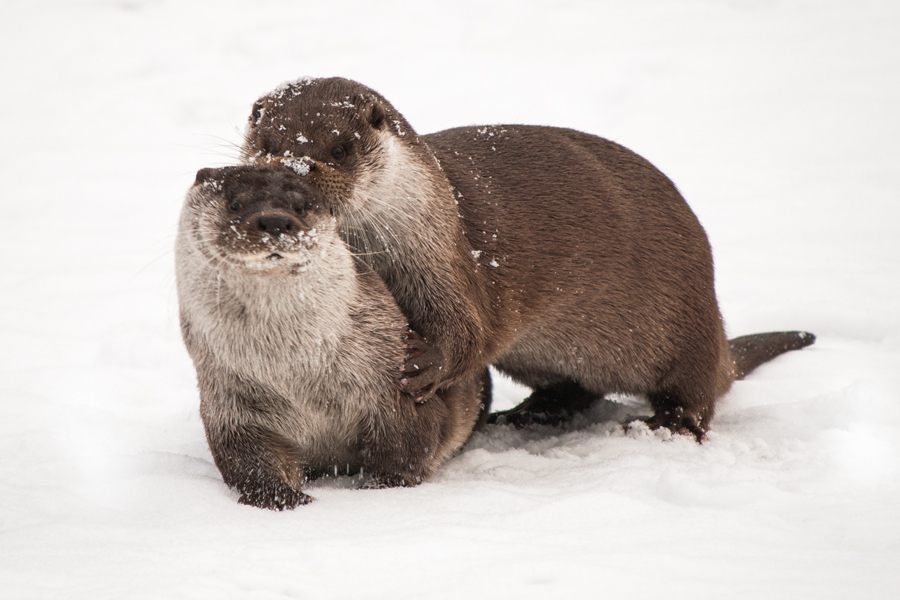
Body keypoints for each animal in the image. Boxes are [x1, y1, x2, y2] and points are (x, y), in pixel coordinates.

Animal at [176, 165, 492, 510]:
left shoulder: (391, 382)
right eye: (234, 204)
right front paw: (282, 498)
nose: (275, 221)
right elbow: (247, 459)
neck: (297, 371)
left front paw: (383, 489)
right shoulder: (229, 402)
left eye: (300, 206)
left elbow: (406, 447)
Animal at [239, 77, 816, 438]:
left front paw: (423, 363)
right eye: (267, 144)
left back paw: (665, 425)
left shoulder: (447, 262)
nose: (293, 169)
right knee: (581, 389)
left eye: (340, 148)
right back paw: (533, 412)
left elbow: (469, 330)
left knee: (695, 395)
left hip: (684, 319)